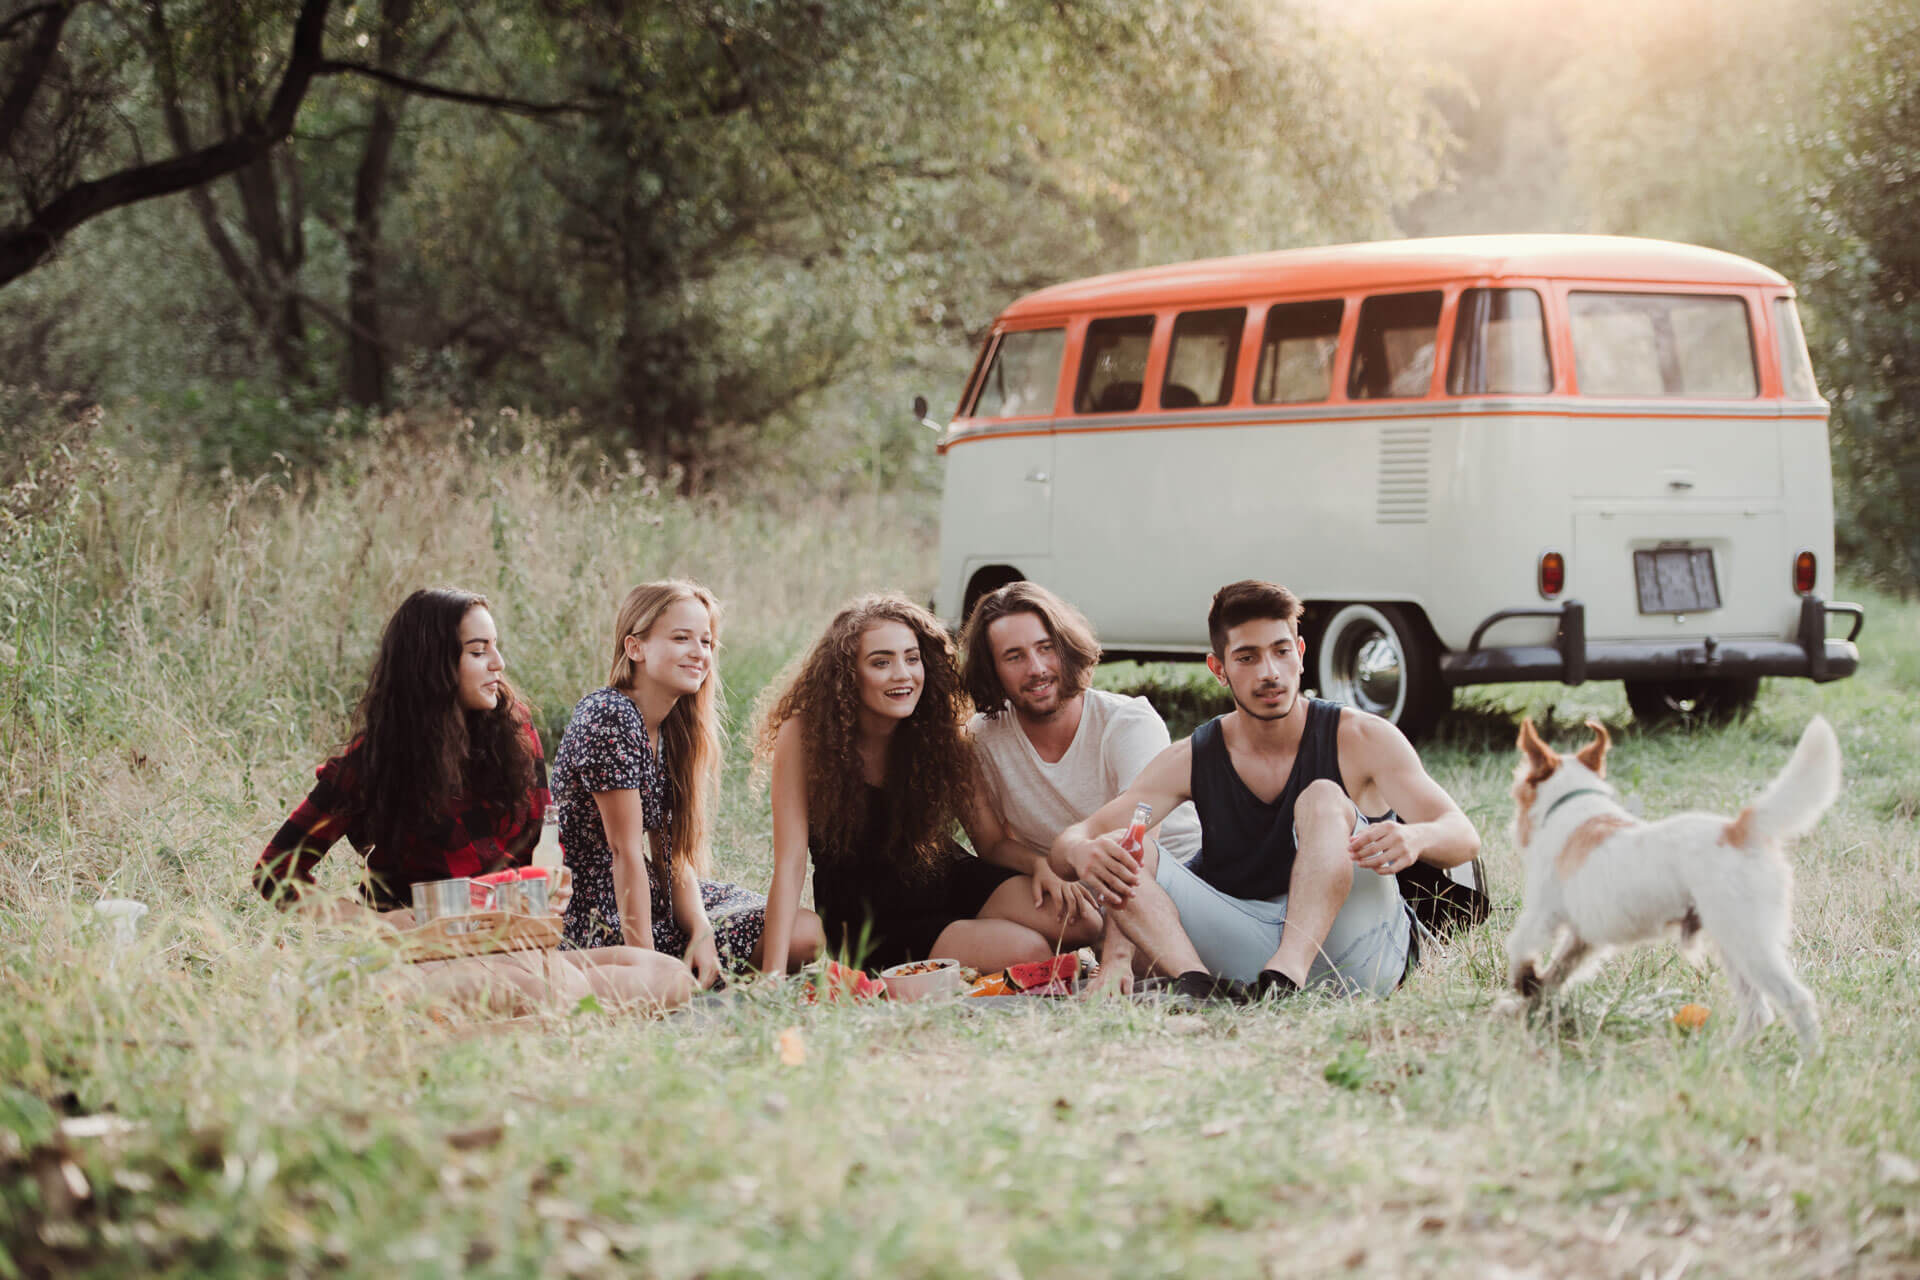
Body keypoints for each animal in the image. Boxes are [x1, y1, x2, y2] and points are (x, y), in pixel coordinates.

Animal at [1505, 710, 1835, 1051]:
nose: (1514, 831)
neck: (1574, 804)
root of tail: (1737, 830)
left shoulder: (1543, 912)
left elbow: (1519, 945)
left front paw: (1523, 982)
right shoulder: (1582, 939)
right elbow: (1557, 972)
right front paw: (1529, 999)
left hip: (1749, 943)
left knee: (1796, 999)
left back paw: (1811, 1059)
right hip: (1732, 946)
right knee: (1756, 1011)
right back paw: (1722, 1055)